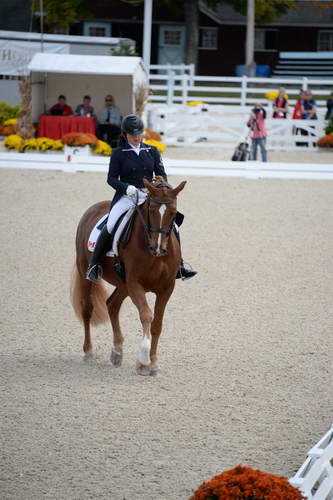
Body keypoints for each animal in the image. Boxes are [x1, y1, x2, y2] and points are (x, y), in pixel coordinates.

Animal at [70, 179, 185, 376]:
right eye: (152, 210)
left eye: (173, 212)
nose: (158, 248)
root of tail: (94, 208)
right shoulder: (135, 284)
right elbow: (146, 315)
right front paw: (143, 361)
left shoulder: (166, 288)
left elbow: (157, 325)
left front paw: (153, 363)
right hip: (87, 271)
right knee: (87, 309)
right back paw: (89, 352)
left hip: (123, 284)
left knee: (112, 305)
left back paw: (117, 353)